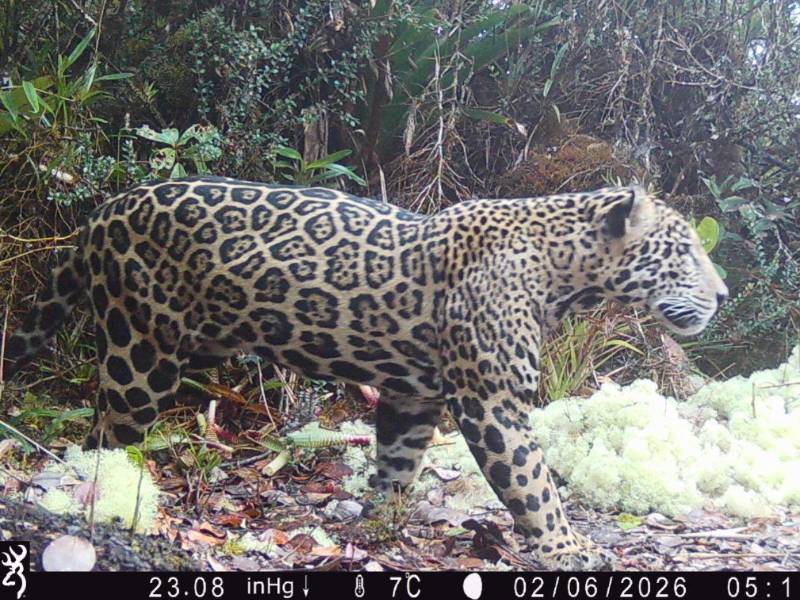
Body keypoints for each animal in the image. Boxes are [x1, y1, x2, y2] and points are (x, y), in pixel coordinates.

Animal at [2, 177, 728, 569]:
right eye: (685, 251)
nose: (723, 295)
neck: (564, 274)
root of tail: (100, 213)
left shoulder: (413, 394)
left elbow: (398, 463)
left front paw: (381, 525)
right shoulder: (491, 400)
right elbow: (533, 483)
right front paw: (567, 546)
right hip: (142, 351)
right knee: (108, 435)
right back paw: (115, 499)